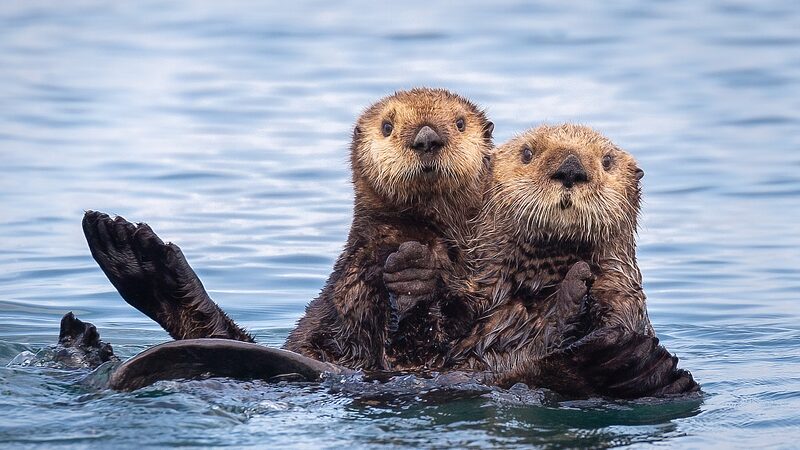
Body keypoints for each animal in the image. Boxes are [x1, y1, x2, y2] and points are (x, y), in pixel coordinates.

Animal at [83, 88, 494, 371]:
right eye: (387, 126)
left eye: (460, 123)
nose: (427, 138)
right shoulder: (354, 281)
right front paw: (413, 272)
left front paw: (416, 272)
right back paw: (130, 252)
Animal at [387, 124, 698, 398]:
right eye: (527, 153)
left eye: (607, 161)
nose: (571, 169)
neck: (539, 282)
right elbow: (415, 354)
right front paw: (414, 274)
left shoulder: (621, 299)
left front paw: (575, 291)